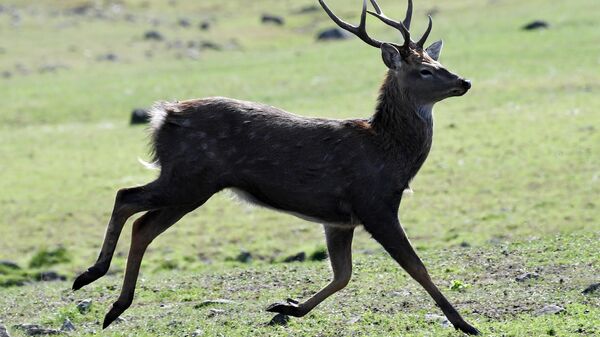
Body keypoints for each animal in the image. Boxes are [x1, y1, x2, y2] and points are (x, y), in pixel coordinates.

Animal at [72, 0, 480, 334]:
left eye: (438, 62)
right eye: (424, 70)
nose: (464, 81)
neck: (389, 156)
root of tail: (162, 115)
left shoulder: (338, 219)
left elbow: (343, 274)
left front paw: (287, 306)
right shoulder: (375, 203)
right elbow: (416, 266)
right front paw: (464, 323)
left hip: (188, 185)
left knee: (143, 225)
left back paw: (113, 305)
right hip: (188, 178)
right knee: (126, 197)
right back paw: (92, 276)